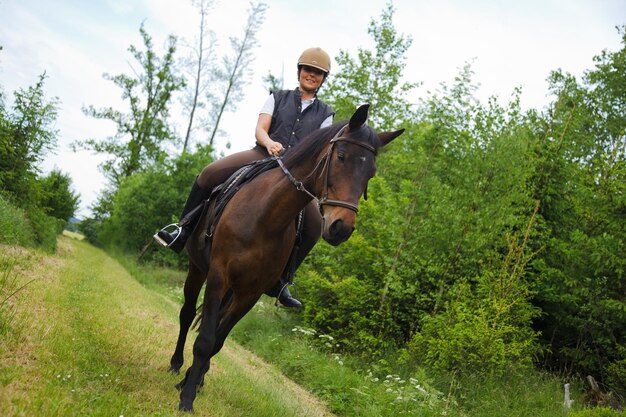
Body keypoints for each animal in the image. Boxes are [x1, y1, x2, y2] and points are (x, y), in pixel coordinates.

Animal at [172, 104, 404, 410]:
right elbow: (205, 339)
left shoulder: (251, 292)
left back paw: (195, 377)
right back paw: (175, 365)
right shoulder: (218, 276)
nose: (341, 228)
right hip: (198, 268)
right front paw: (187, 398)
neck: (265, 217)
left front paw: (192, 383)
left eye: (372, 172)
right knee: (187, 313)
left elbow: (217, 340)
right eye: (341, 156)